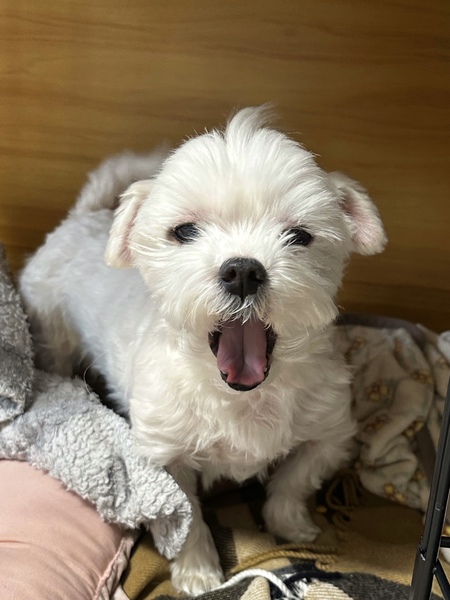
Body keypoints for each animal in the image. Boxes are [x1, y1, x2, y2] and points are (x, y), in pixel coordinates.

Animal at [19, 107, 386, 595]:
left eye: (299, 235)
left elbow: (294, 482)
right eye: (184, 231)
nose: (243, 270)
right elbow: (186, 515)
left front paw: (290, 525)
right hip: (52, 335)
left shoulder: (330, 430)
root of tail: (83, 216)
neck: (242, 400)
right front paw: (197, 570)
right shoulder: (163, 453)